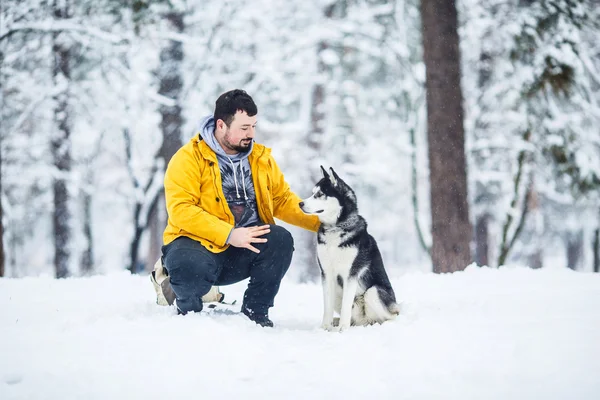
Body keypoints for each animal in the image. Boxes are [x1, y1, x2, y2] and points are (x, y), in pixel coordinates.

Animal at [298, 166, 398, 332]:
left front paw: (343, 329)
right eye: (312, 193)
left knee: (392, 316)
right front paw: (325, 327)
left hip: (373, 292)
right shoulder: (326, 273)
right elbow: (327, 305)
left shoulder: (351, 274)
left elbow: (346, 305)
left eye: (320, 194)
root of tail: (365, 321)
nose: (300, 203)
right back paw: (337, 322)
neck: (335, 228)